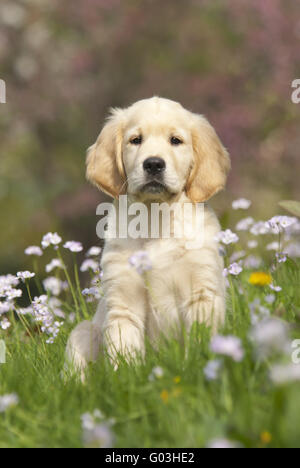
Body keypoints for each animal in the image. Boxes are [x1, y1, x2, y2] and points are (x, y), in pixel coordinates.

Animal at [65, 96, 230, 376]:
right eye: (136, 140)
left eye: (175, 140)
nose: (153, 164)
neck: (156, 219)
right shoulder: (123, 302)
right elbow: (124, 353)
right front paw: (128, 379)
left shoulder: (201, 292)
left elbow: (200, 342)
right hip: (82, 331)